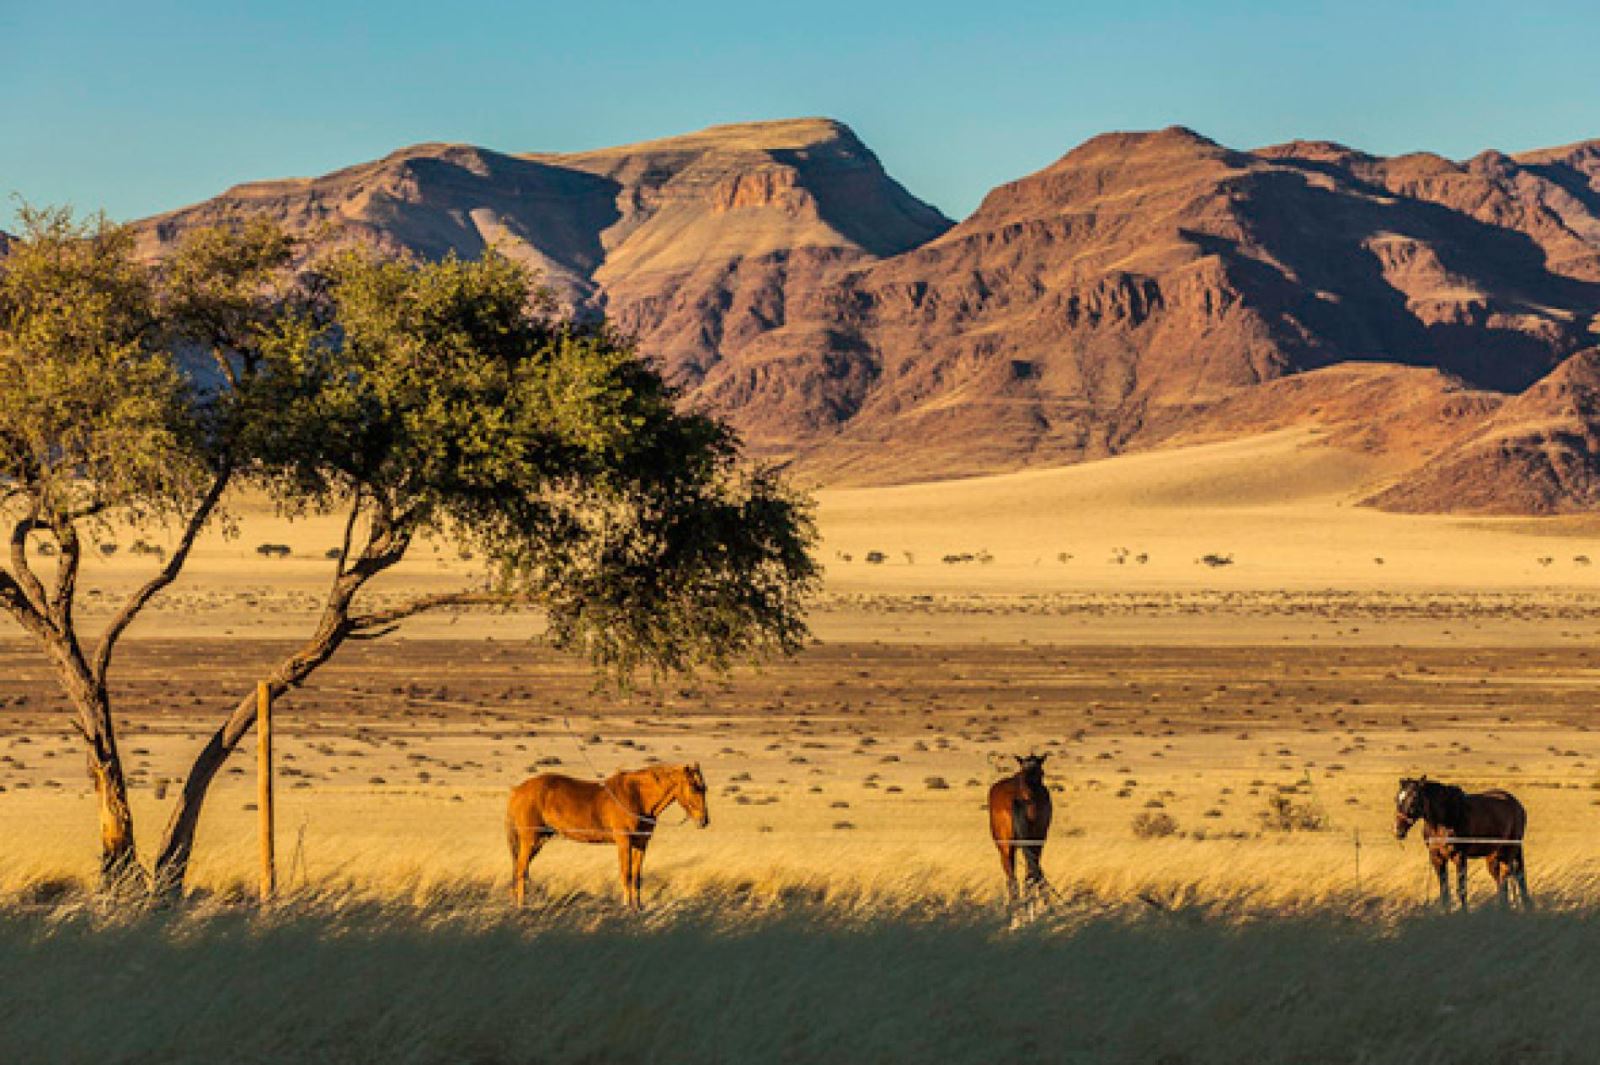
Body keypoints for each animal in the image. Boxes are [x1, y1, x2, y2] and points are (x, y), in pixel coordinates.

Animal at [505, 757, 707, 908]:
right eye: (693, 787)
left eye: (704, 787)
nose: (704, 820)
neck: (637, 796)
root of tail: (517, 790)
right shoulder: (624, 842)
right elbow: (626, 875)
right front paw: (627, 906)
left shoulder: (641, 843)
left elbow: (636, 877)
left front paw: (638, 907)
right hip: (530, 840)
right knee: (520, 871)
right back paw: (521, 906)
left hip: (537, 842)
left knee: (520, 870)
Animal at [985, 745, 1049, 914]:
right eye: (1042, 772)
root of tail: (1017, 796)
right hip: (1029, 844)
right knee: (1027, 876)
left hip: (1007, 847)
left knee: (1014, 879)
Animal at [1395, 777, 1529, 908]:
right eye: (1397, 799)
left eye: (1413, 799)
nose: (1399, 831)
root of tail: (1517, 805)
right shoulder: (1437, 857)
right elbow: (1444, 892)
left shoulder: (1459, 856)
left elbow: (1462, 890)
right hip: (1493, 857)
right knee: (1502, 882)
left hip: (1509, 852)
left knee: (1510, 877)